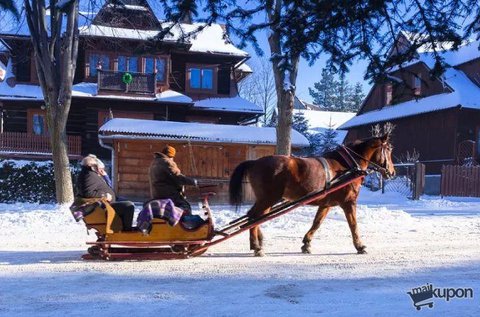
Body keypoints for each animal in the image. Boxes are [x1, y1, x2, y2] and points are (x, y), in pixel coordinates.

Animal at [231, 132, 396, 256]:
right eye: (388, 149)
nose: (392, 172)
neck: (347, 166)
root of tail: (254, 162)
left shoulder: (326, 204)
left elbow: (317, 222)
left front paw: (307, 243)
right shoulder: (349, 202)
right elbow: (353, 225)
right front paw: (360, 246)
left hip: (266, 201)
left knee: (255, 217)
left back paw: (259, 241)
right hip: (268, 199)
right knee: (253, 218)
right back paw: (257, 246)